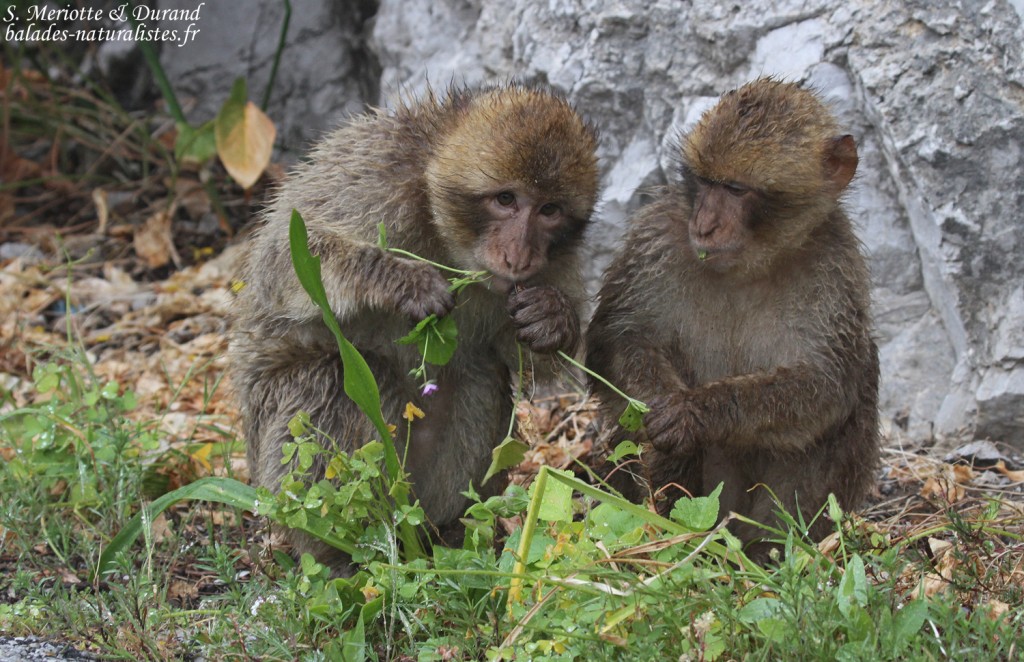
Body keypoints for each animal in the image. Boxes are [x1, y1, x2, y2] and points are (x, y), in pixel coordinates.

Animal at [229, 84, 599, 568]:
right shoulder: (373, 176)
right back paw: (340, 549)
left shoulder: (555, 263)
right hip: (277, 473)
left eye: (549, 210)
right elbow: (284, 260)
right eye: (506, 200)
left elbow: (526, 358)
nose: (519, 256)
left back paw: (449, 532)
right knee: (330, 379)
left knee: (480, 376)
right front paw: (397, 280)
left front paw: (552, 319)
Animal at [586, 77, 879, 557]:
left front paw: (697, 412)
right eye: (707, 183)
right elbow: (618, 337)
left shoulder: (835, 264)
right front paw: (663, 403)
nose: (704, 225)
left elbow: (827, 384)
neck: (752, 264)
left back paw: (771, 551)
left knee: (855, 385)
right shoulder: (657, 236)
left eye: (737, 190)